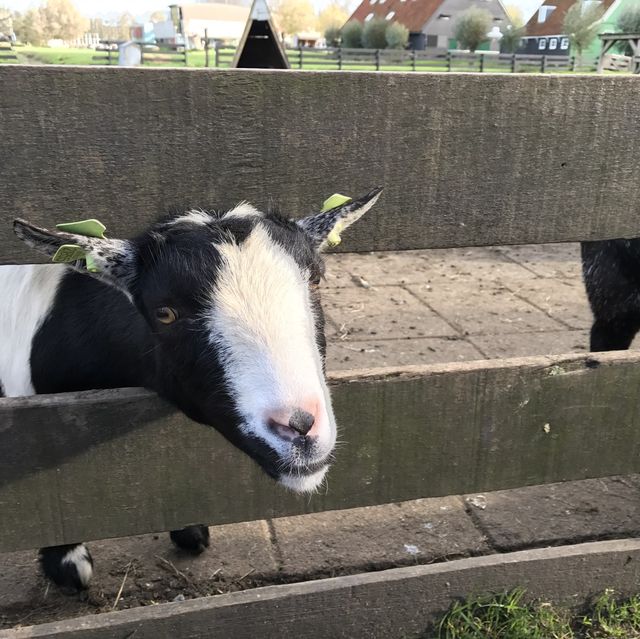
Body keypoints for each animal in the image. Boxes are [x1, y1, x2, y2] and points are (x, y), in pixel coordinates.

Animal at [0, 188, 380, 592]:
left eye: (315, 282)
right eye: (165, 313)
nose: (301, 427)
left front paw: (190, 531)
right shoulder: (35, 417)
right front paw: (67, 563)